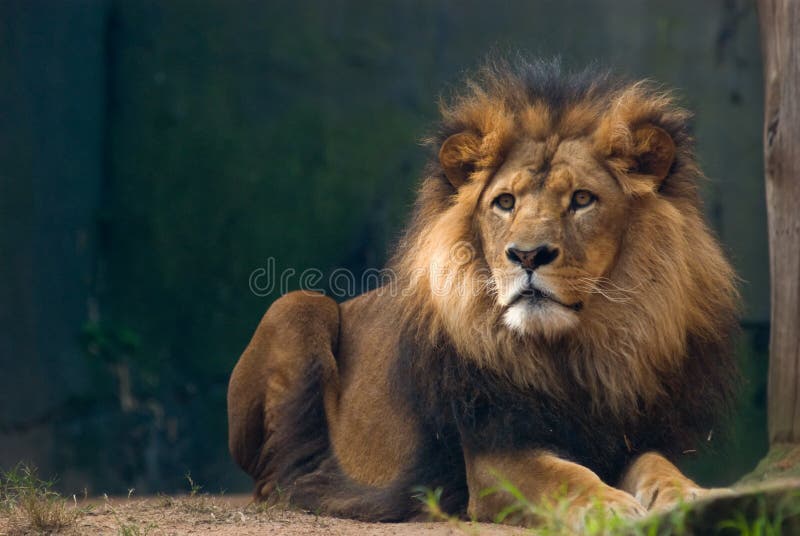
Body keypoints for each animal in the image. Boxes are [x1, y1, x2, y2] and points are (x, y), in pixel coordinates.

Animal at [227, 58, 739, 528]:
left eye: (582, 199)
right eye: (505, 202)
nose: (528, 255)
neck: (575, 353)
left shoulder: (633, 433)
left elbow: (659, 465)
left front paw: (694, 496)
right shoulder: (495, 454)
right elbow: (565, 476)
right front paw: (606, 506)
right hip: (296, 305)